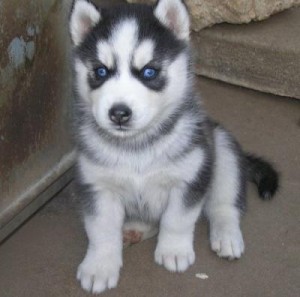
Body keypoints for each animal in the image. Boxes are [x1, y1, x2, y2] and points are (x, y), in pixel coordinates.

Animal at [69, 0, 278, 292]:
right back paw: (135, 228)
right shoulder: (96, 185)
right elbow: (101, 229)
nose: (119, 113)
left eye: (149, 71)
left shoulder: (190, 177)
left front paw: (174, 250)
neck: (138, 147)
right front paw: (100, 265)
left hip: (222, 149)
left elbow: (177, 219)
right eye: (100, 71)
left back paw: (226, 235)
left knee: (224, 205)